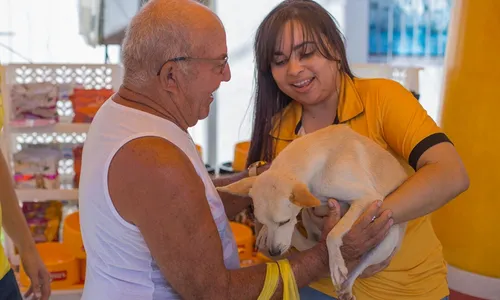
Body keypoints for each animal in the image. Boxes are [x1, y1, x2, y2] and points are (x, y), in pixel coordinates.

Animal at [217, 124, 408, 300]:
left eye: (284, 221)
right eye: (262, 221)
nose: (274, 253)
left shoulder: (367, 197)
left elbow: (333, 234)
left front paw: (336, 263)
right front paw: (264, 231)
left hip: (386, 240)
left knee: (360, 267)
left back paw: (346, 286)